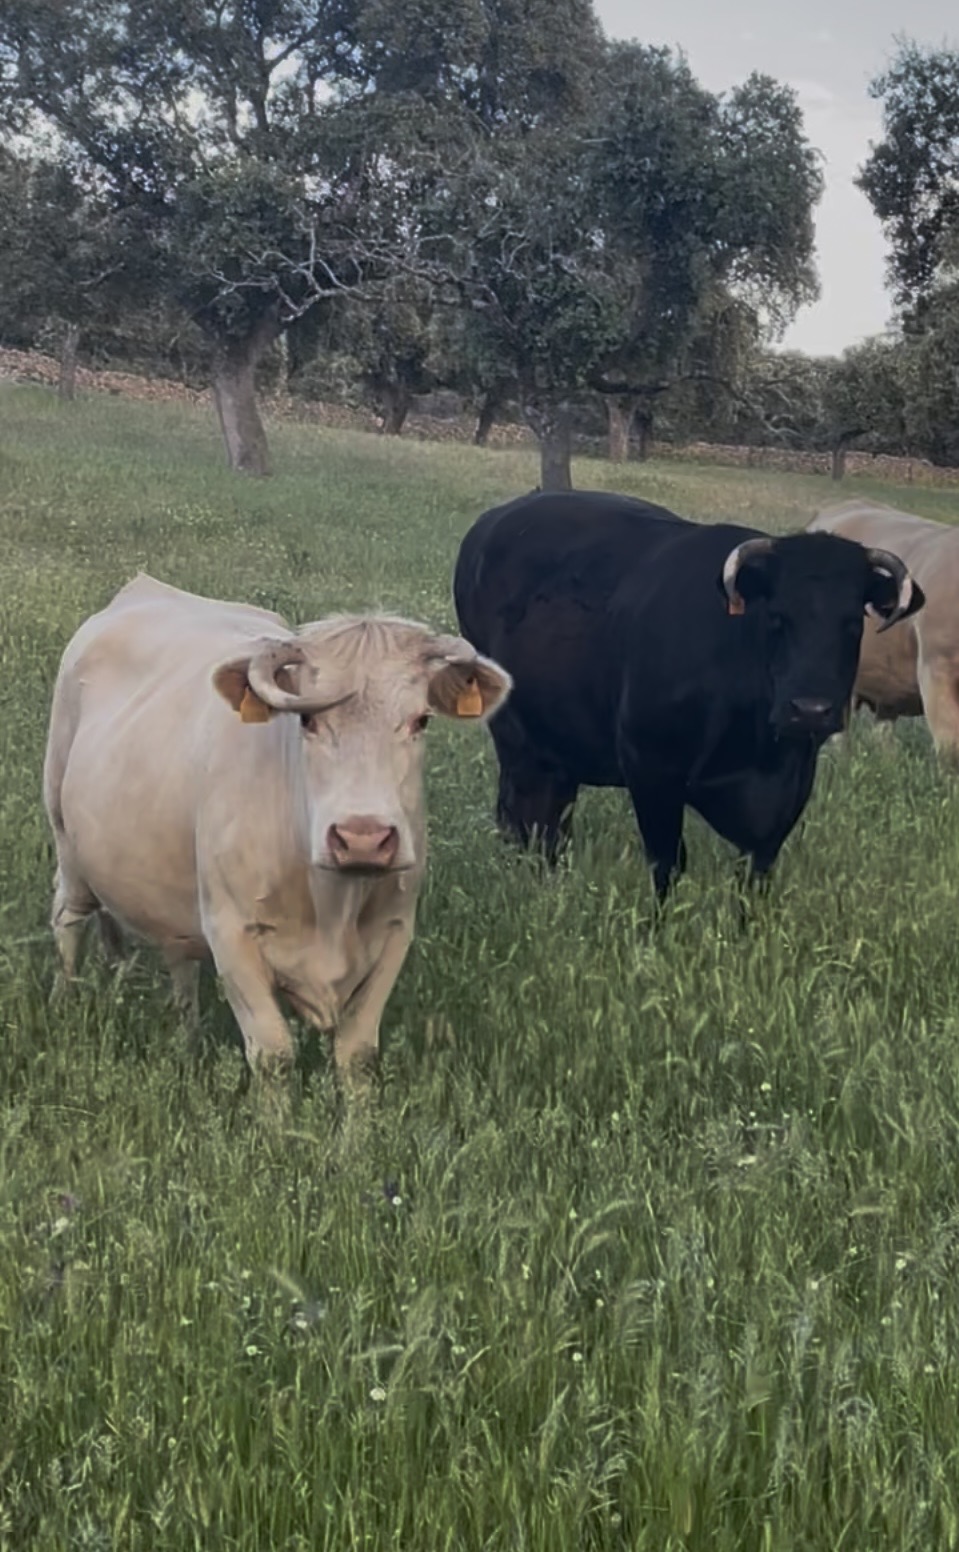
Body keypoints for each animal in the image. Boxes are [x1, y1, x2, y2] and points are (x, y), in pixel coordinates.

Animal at [43, 574, 511, 1083]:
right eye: (307, 719)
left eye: (420, 720)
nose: (362, 839)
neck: (332, 904)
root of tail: (143, 587)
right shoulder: (231, 932)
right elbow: (273, 1056)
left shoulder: (395, 929)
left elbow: (357, 1056)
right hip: (66, 840)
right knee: (68, 919)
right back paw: (64, 1006)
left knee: (180, 959)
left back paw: (187, 1036)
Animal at [453, 489, 923, 899]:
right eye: (777, 616)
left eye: (852, 622)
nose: (809, 710)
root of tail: (496, 519)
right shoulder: (651, 768)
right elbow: (667, 866)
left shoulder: (790, 789)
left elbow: (754, 878)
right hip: (516, 736)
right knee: (524, 813)